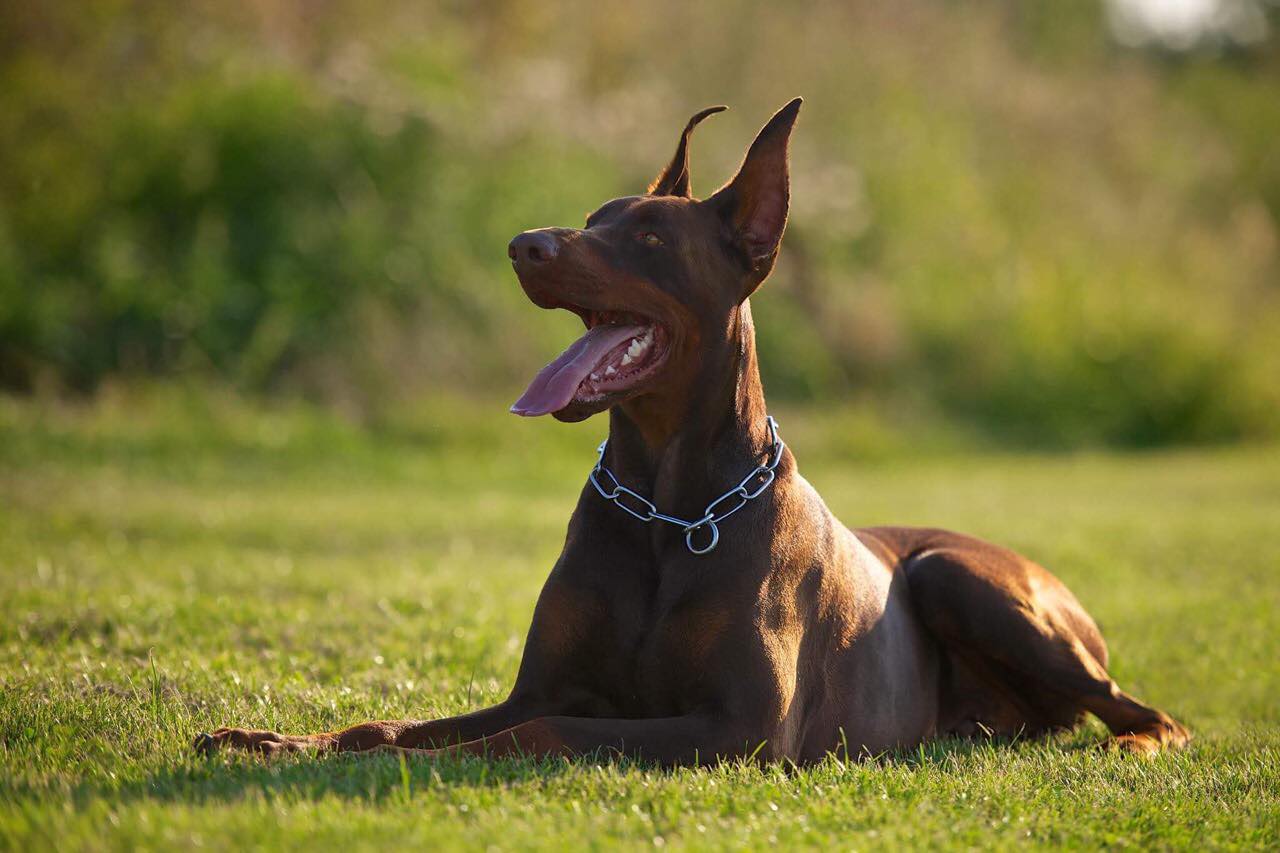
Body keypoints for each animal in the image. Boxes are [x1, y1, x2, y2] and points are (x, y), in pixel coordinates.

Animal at [197, 97, 1187, 758]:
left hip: (964, 577)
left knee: (1146, 710)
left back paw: (1137, 745)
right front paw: (278, 743)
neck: (669, 507)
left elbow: (542, 730)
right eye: (591, 219)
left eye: (647, 240)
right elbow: (393, 721)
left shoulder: (739, 726)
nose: (522, 245)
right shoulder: (545, 680)